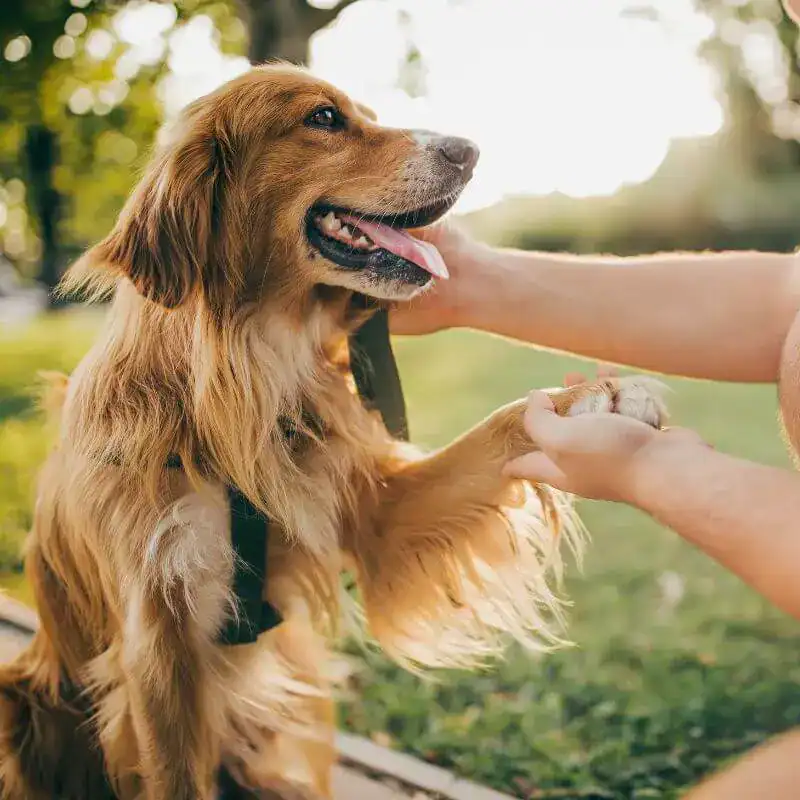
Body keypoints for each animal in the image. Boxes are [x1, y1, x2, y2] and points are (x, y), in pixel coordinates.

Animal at [0, 65, 664, 796]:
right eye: (323, 118)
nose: (470, 150)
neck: (239, 384)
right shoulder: (157, 647)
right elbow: (177, 775)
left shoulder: (371, 513)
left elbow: (495, 432)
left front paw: (594, 399)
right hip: (22, 698)